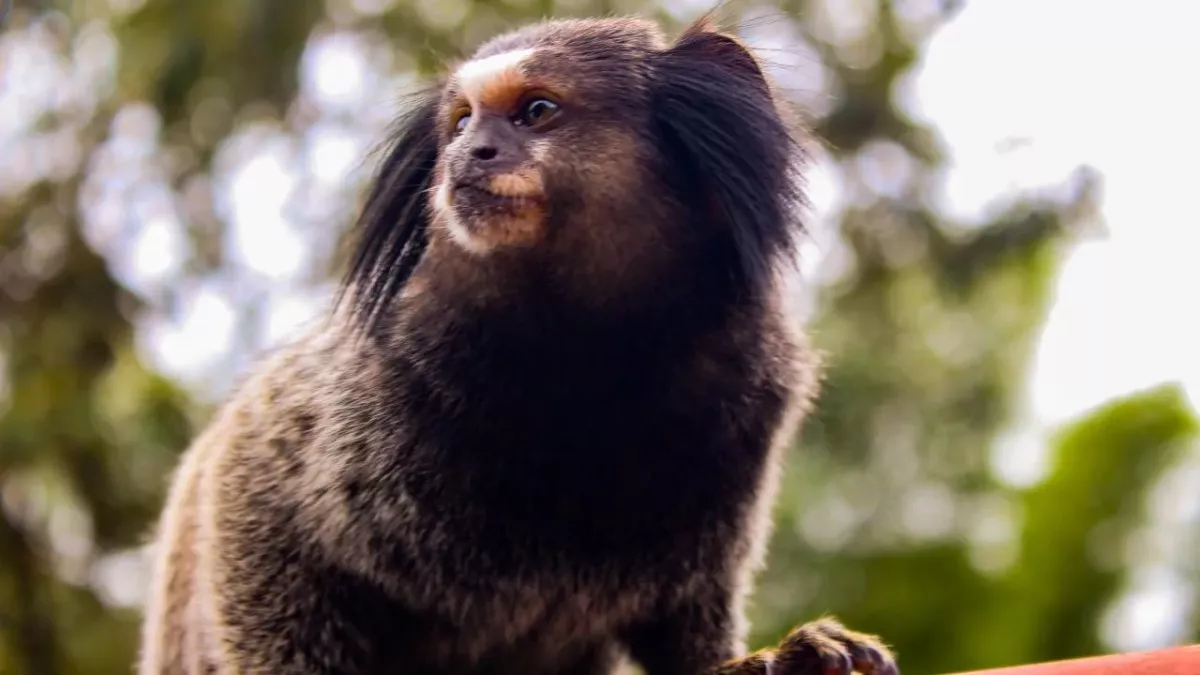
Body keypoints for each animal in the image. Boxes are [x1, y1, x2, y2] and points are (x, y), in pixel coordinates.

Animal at [136, 13, 898, 675]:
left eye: (536, 111)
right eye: (462, 122)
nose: (468, 155)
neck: (595, 348)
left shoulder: (748, 397)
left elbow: (688, 610)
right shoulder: (364, 385)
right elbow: (256, 493)